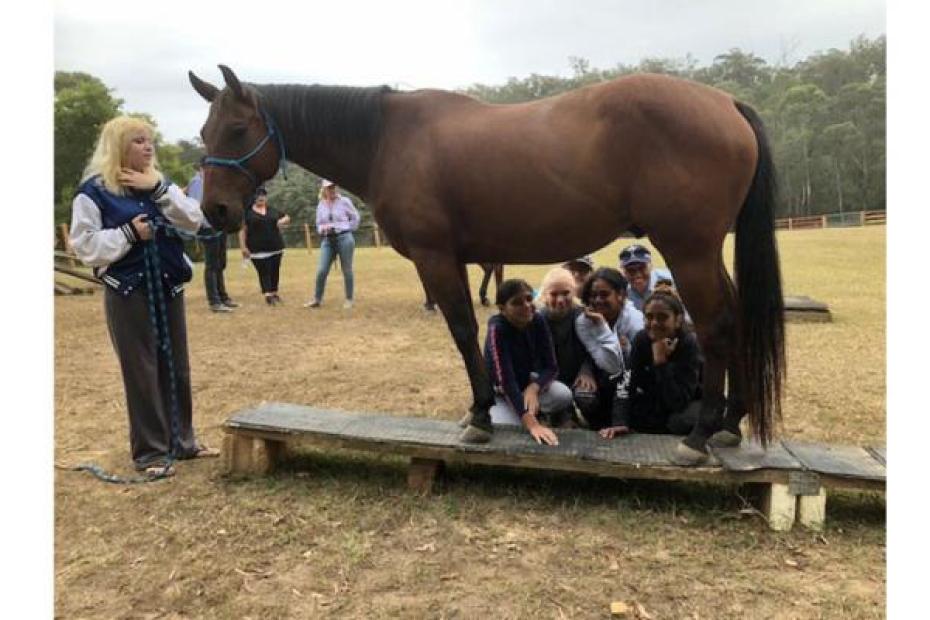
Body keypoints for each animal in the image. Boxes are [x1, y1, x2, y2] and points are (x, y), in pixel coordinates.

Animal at [190, 68, 784, 464]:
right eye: (204, 132)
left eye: (238, 130)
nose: (214, 212)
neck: (386, 139)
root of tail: (727, 103)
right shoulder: (455, 259)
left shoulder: (435, 257)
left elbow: (461, 329)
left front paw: (478, 416)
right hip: (702, 251)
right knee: (736, 318)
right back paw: (730, 424)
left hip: (688, 250)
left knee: (717, 324)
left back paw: (699, 437)